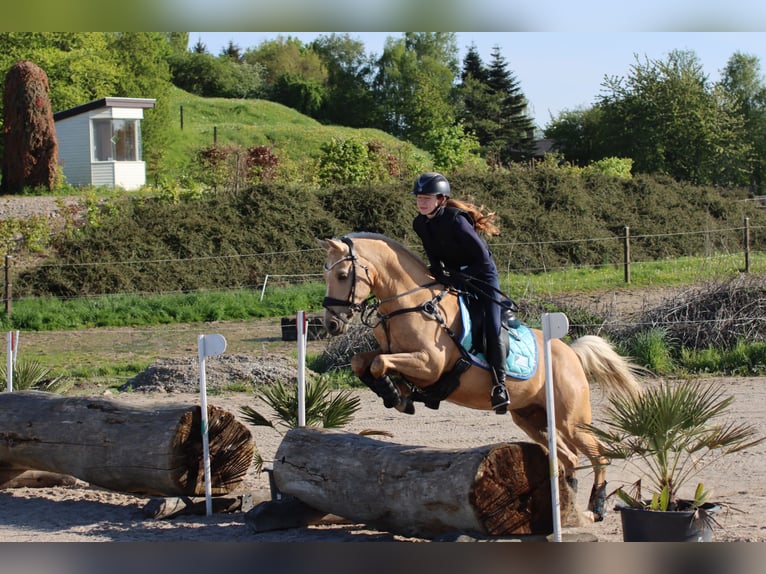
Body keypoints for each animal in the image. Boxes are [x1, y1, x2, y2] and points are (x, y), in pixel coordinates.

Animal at [316, 233, 640, 520]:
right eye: (326, 275)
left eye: (343, 275)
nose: (331, 324)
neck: (413, 304)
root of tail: (571, 352)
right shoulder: (396, 355)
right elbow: (363, 361)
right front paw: (396, 393)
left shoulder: (430, 364)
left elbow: (379, 364)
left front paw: (397, 394)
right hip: (532, 419)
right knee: (569, 457)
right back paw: (566, 505)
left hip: (571, 421)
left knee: (599, 456)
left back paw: (595, 507)